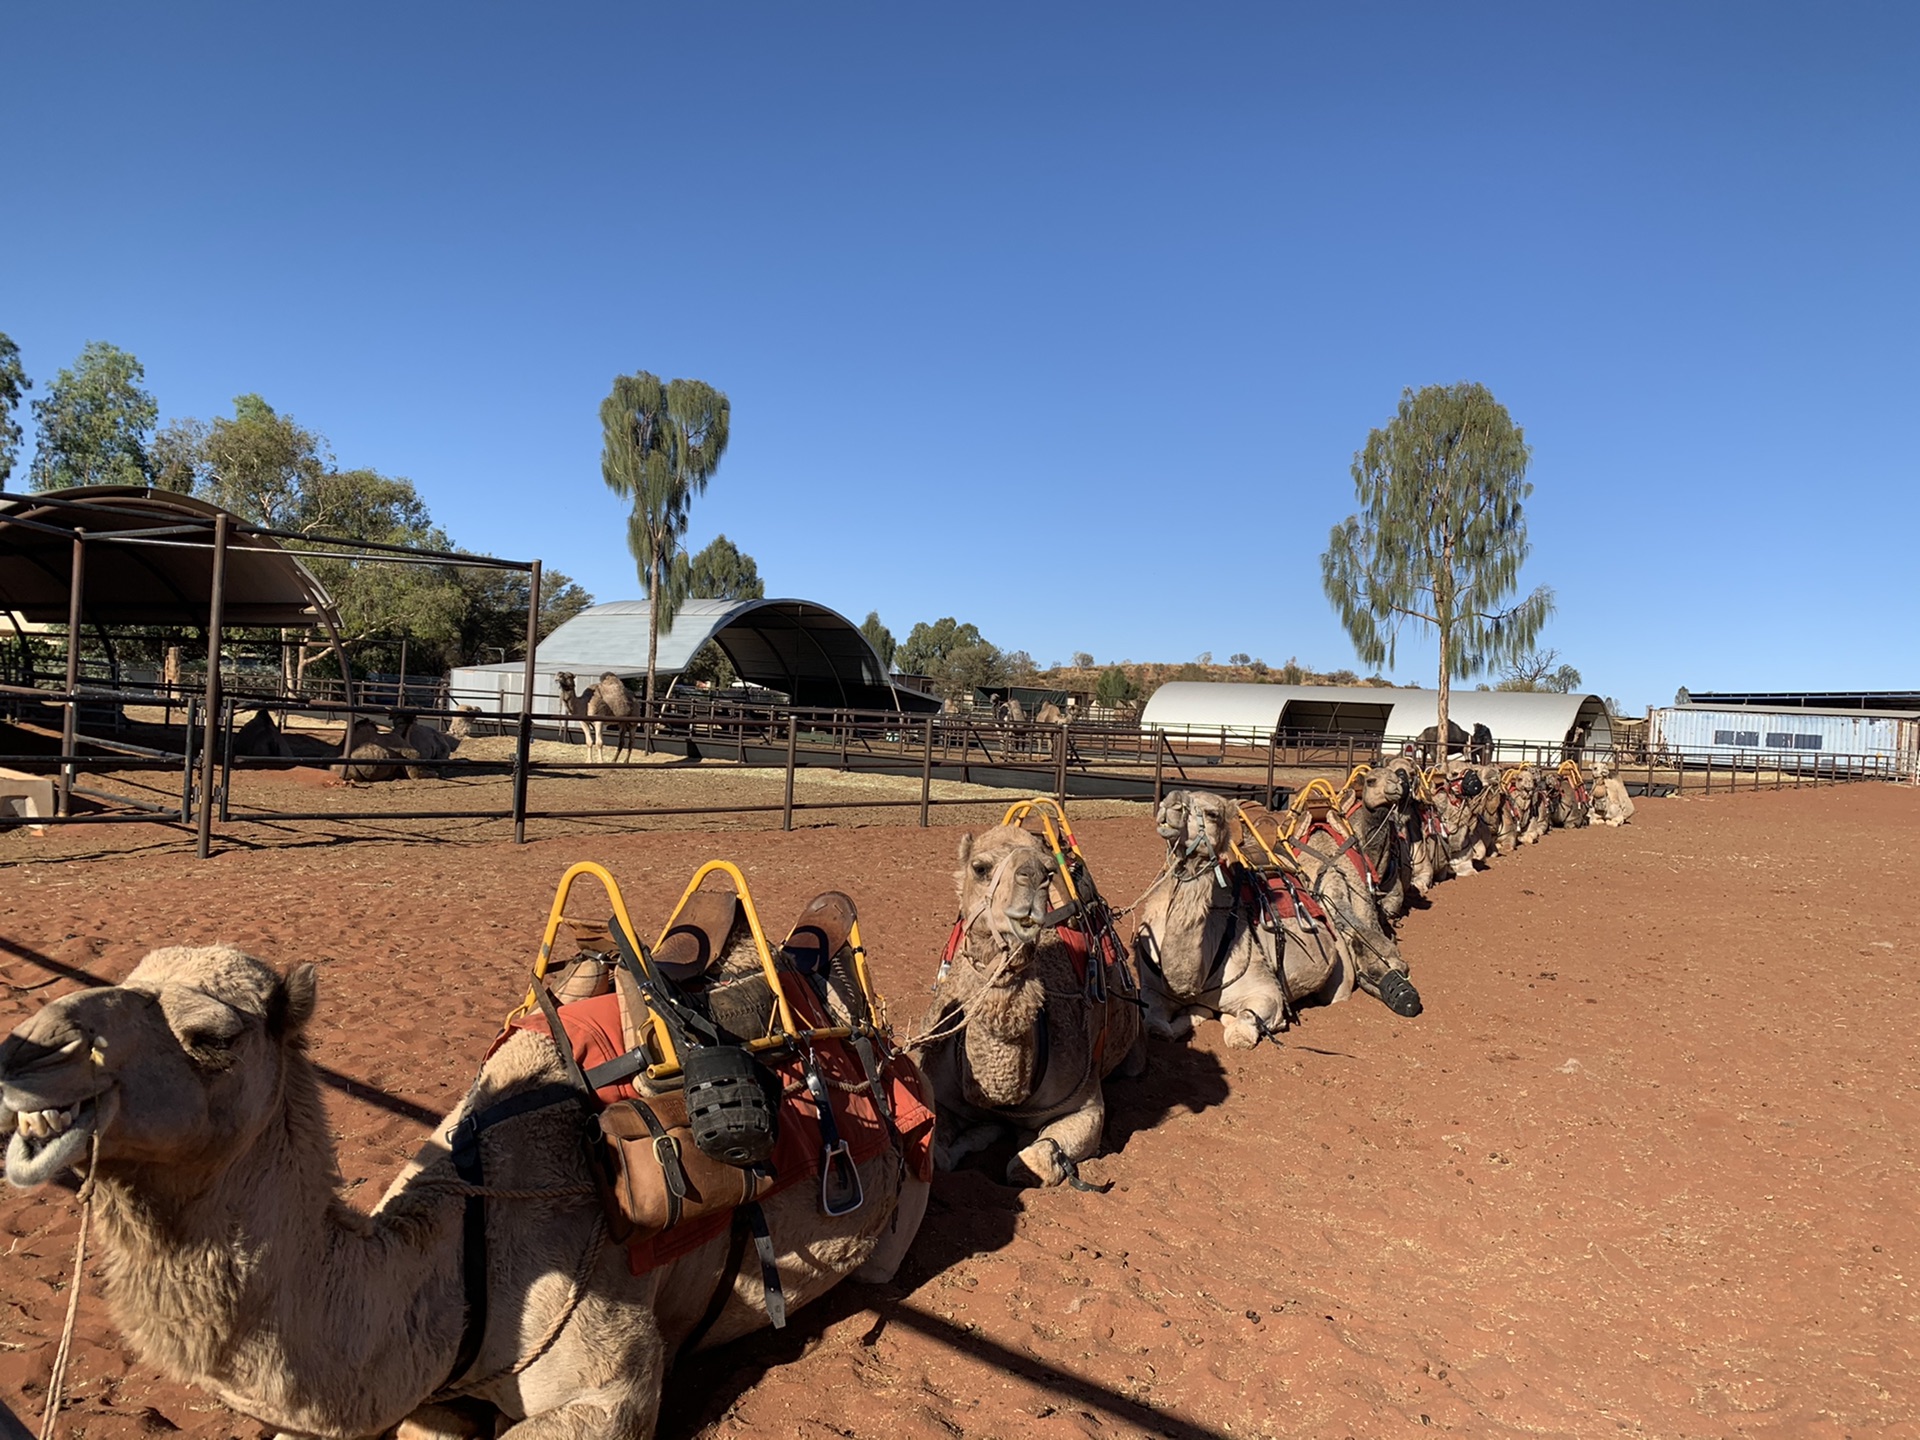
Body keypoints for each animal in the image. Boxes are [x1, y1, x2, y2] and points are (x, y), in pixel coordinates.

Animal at [913, 829, 1136, 1190]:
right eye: (980, 868)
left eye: (1048, 871)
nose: (1031, 875)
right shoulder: (939, 1093)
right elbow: (938, 1155)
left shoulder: (1086, 1105)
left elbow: (1026, 1165)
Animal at [1128, 791, 1297, 1052]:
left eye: (1212, 814)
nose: (1169, 804)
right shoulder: (1152, 989)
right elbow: (1156, 1025)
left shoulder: (1266, 990)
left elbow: (1242, 1030)